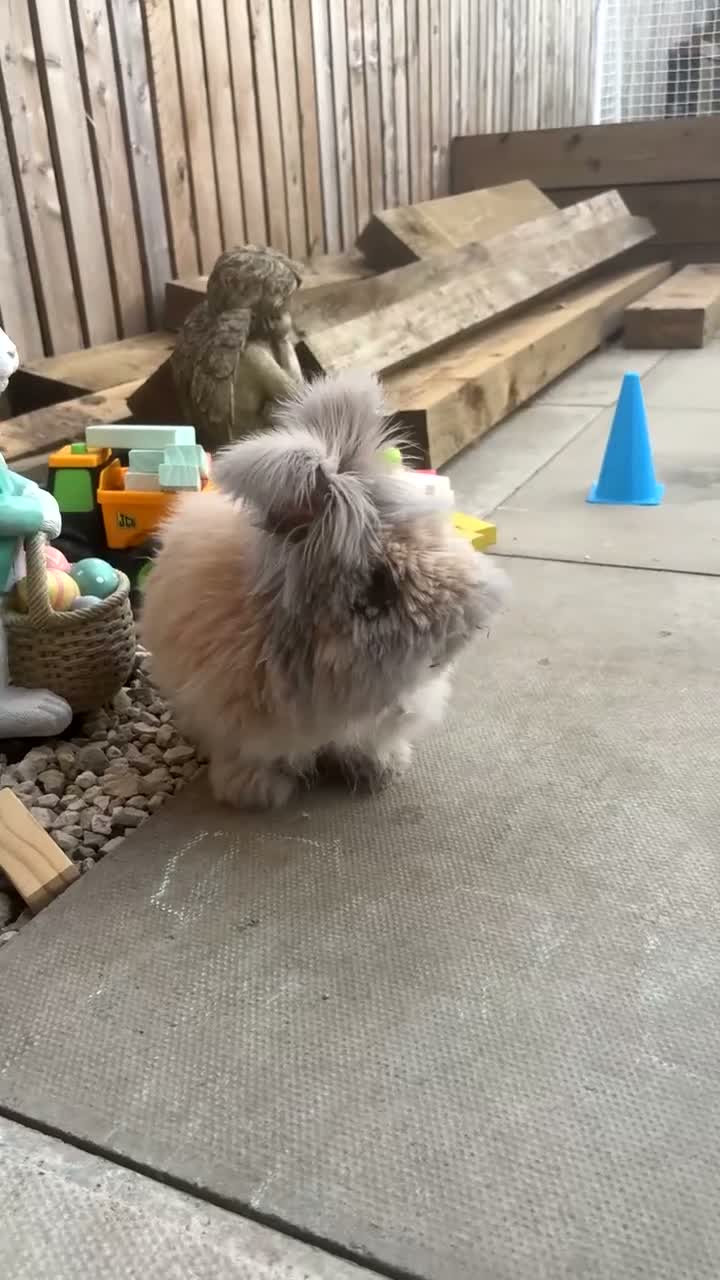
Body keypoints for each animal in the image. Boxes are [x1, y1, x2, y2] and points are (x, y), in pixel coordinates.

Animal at [141, 369, 508, 809]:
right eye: (380, 584)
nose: (472, 625)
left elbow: (365, 743)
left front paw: (382, 770)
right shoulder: (235, 724)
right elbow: (251, 756)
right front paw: (256, 792)